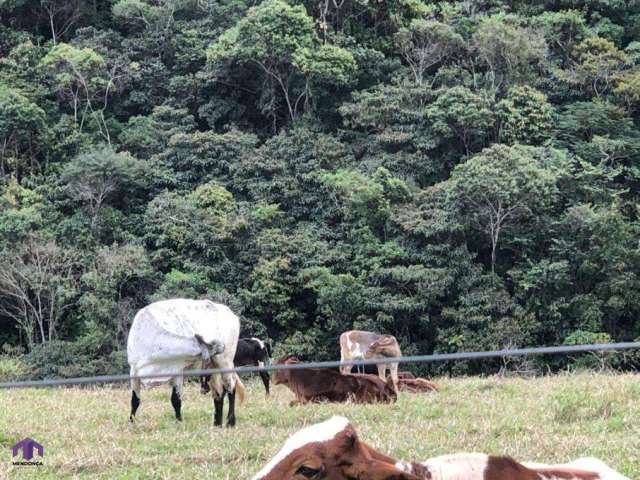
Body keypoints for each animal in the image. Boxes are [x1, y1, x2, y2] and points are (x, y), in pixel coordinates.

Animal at [127, 300, 245, 428]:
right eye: (211, 345)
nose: (223, 345)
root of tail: (230, 313)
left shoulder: (177, 370)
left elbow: (176, 400)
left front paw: (179, 422)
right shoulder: (134, 371)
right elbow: (135, 400)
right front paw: (131, 422)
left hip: (225, 362)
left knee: (230, 387)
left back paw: (230, 422)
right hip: (213, 368)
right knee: (218, 393)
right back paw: (217, 424)